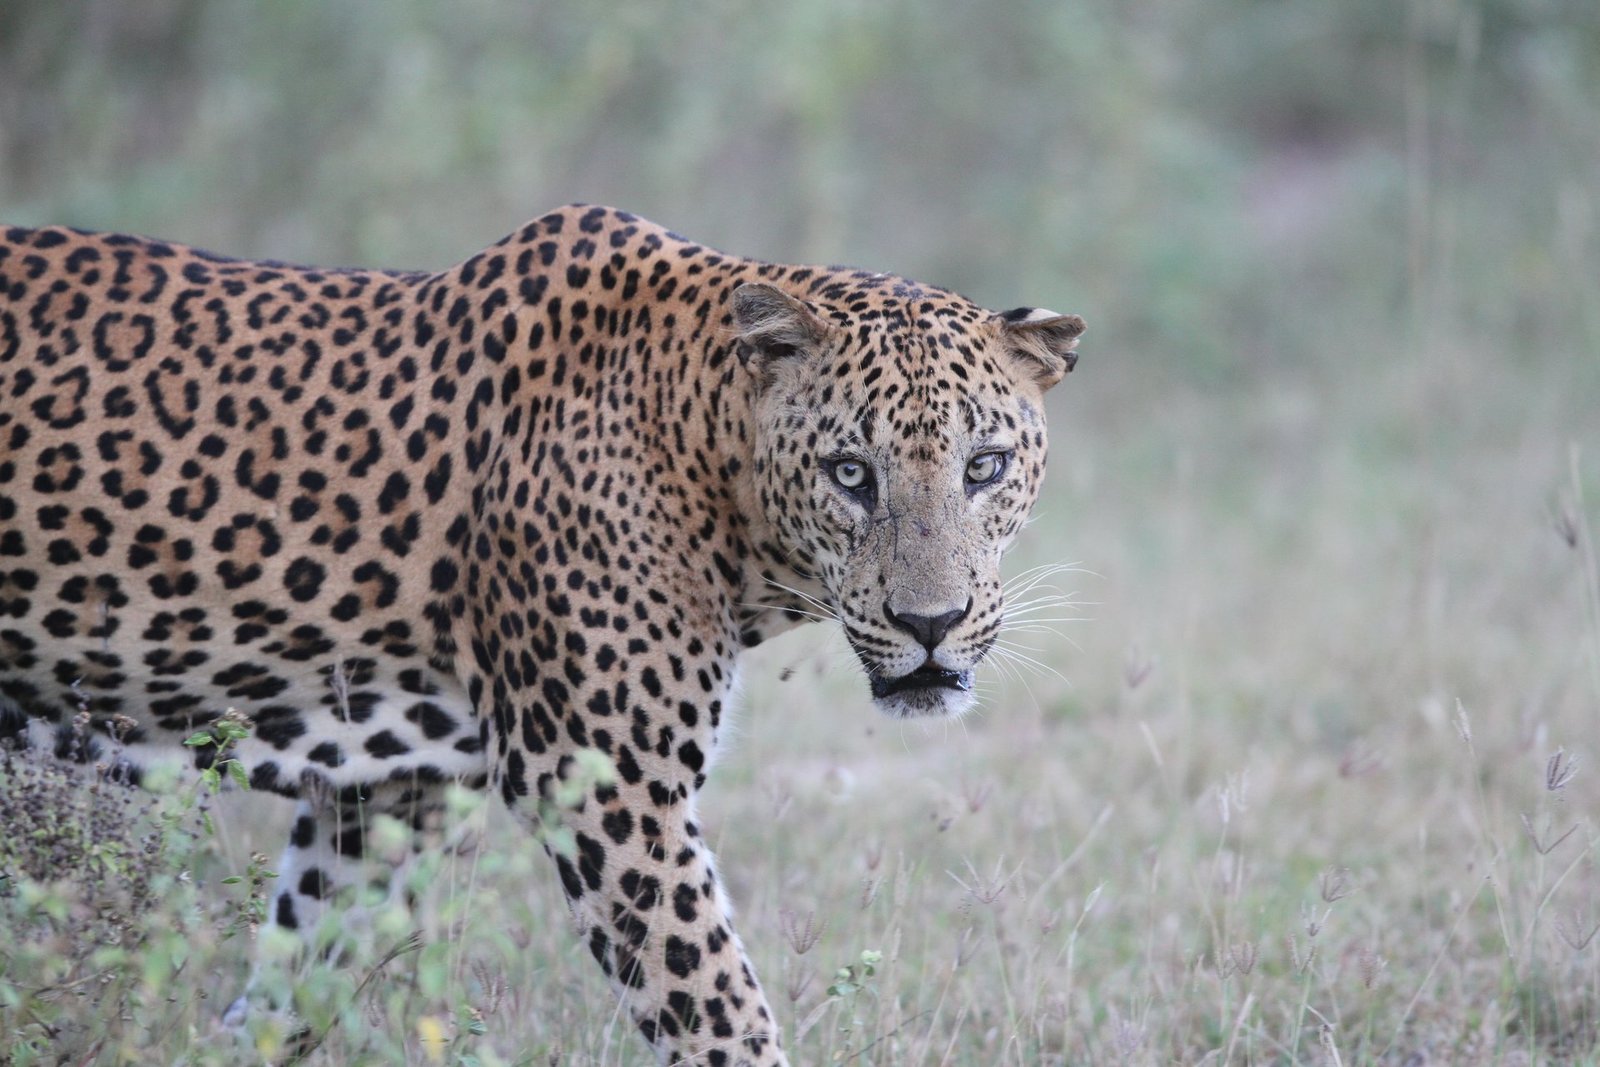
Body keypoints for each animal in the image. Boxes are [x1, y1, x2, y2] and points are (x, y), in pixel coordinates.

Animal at [0, 204, 1084, 1066]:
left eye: (985, 466)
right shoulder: (607, 785)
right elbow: (719, 1013)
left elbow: (295, 981)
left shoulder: (387, 793)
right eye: (850, 473)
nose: (930, 624)